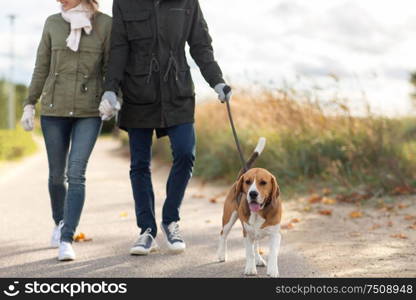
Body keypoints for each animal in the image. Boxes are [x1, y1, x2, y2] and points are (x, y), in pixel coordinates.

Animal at [216, 139, 282, 278]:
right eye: (247, 182)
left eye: (263, 182)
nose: (252, 194)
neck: (259, 212)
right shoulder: (246, 234)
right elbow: (249, 253)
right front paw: (250, 269)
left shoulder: (275, 235)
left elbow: (273, 253)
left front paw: (273, 270)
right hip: (229, 219)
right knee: (223, 235)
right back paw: (221, 254)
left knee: (256, 245)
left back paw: (259, 260)